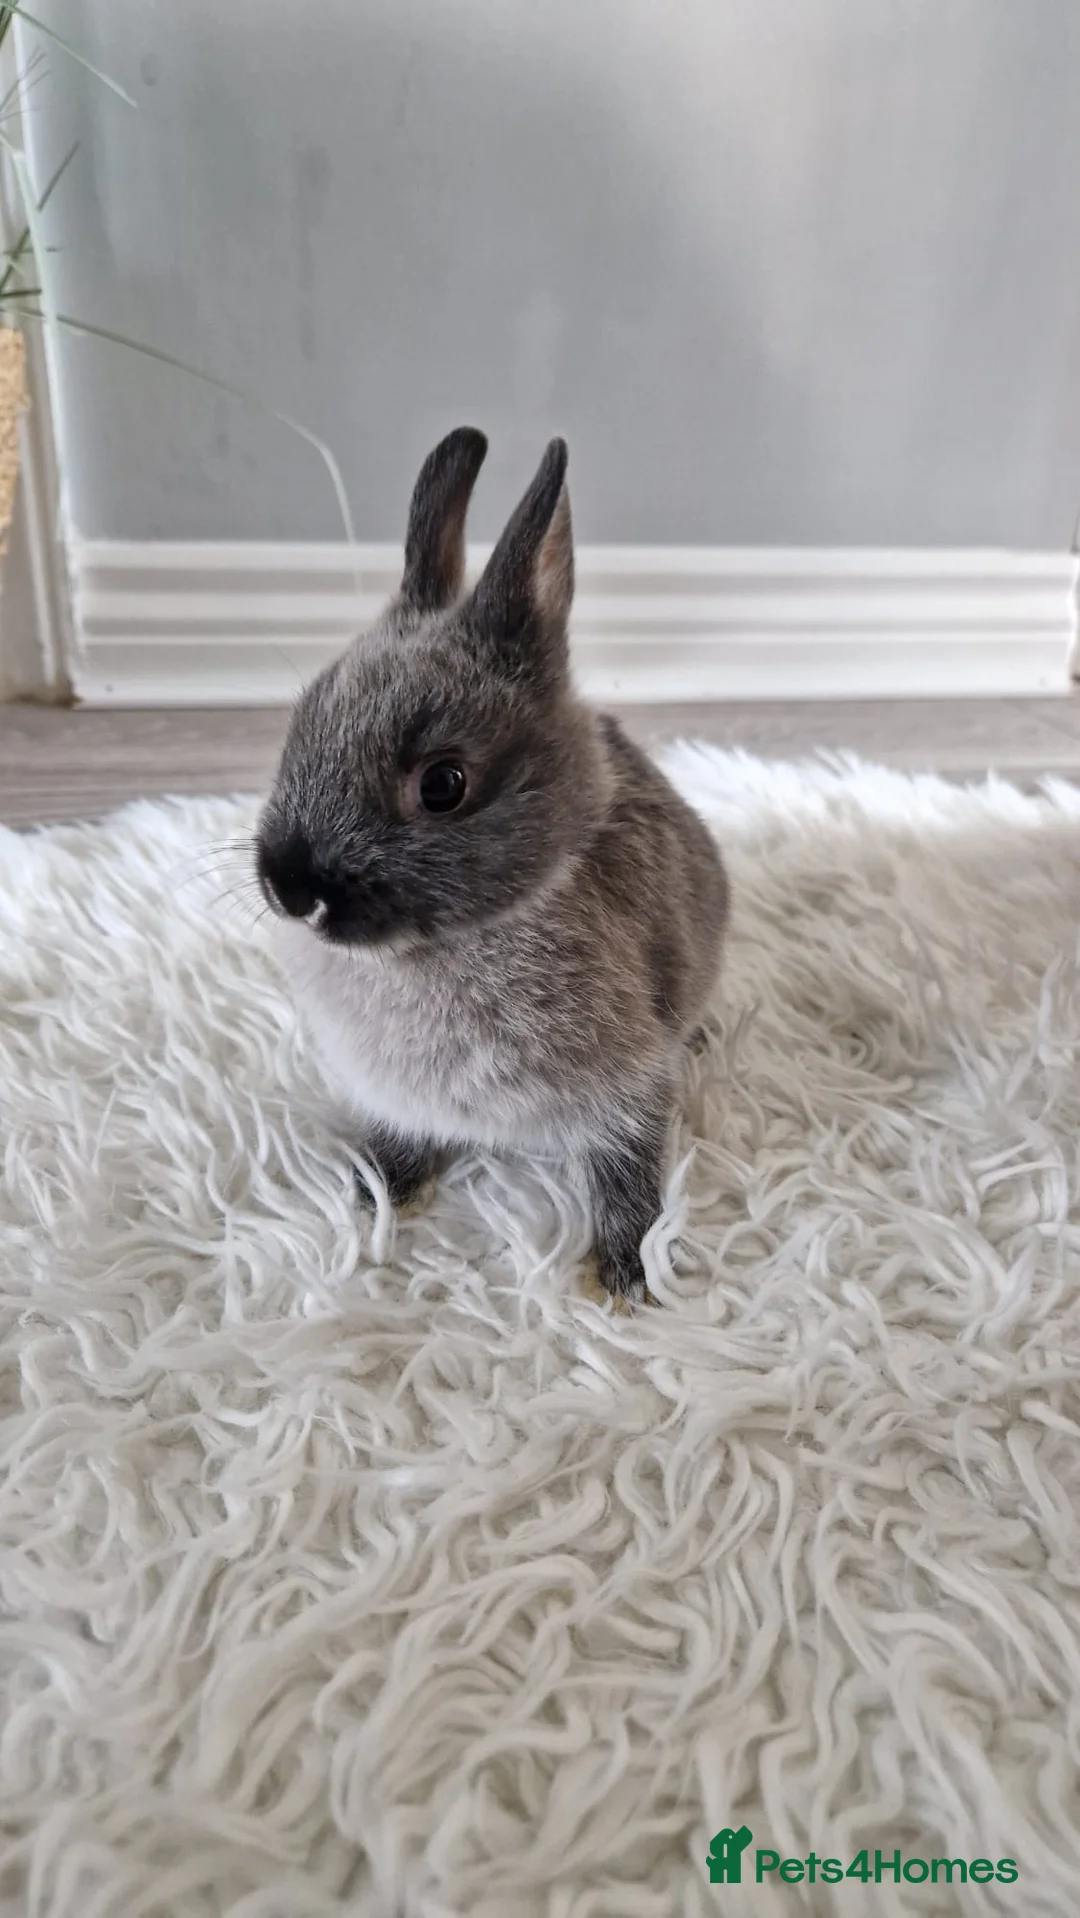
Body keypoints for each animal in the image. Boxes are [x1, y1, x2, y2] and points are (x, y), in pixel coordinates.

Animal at [255, 427, 729, 1301]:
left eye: (443, 785)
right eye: (302, 725)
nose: (291, 889)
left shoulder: (630, 1086)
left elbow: (627, 1165)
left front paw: (627, 1274)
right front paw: (375, 1192)